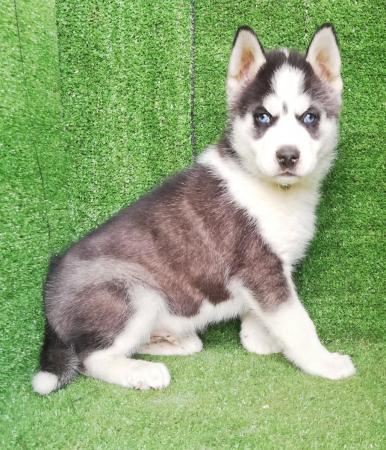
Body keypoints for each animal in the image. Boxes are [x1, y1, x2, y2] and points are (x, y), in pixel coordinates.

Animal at [32, 23, 356, 394]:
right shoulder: (259, 265)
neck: (276, 191)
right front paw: (323, 361)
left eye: (309, 117)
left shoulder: (264, 272)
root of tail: (49, 300)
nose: (287, 155)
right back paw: (142, 372)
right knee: (91, 358)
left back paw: (173, 340)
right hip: (136, 292)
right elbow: (298, 323)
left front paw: (261, 340)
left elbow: (262, 316)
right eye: (262, 117)